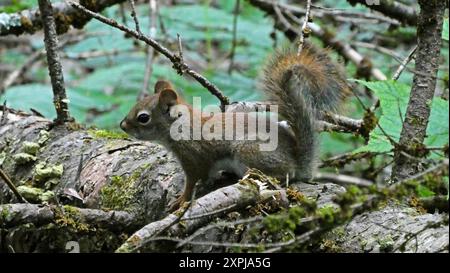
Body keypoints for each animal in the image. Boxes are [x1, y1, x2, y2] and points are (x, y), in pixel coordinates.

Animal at [119, 44, 348, 210]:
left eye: (143, 117)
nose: (122, 126)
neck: (182, 126)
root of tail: (298, 163)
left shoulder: (193, 157)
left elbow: (193, 180)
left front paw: (181, 200)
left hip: (250, 151)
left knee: (281, 175)